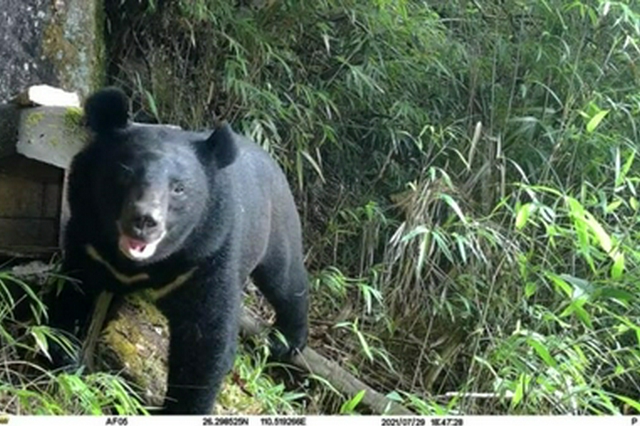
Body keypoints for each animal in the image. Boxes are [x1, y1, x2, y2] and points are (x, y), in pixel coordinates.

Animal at [48, 85, 310, 412]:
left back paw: (286, 343)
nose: (144, 220)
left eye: (179, 188)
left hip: (276, 223)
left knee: (285, 280)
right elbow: (74, 293)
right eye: (124, 173)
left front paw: (182, 409)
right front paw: (64, 361)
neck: (137, 266)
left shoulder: (207, 255)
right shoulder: (88, 239)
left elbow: (204, 340)